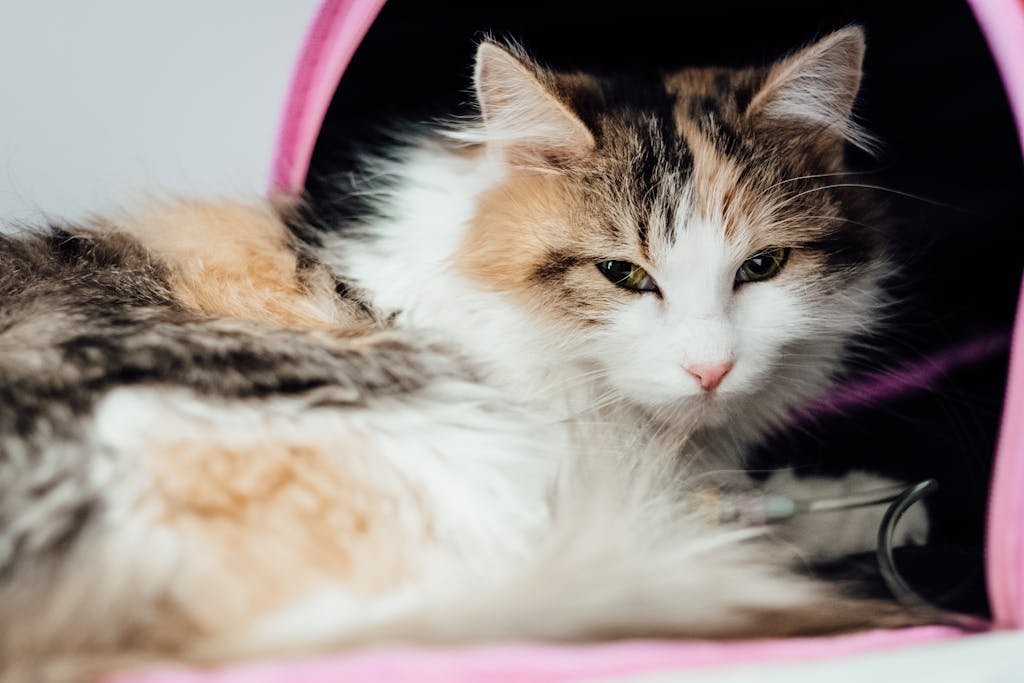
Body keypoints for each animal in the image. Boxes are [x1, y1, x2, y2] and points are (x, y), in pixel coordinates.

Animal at [2, 25, 929, 679]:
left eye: (762, 267)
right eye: (623, 274)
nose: (711, 369)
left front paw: (884, 505)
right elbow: (741, 514)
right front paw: (859, 510)